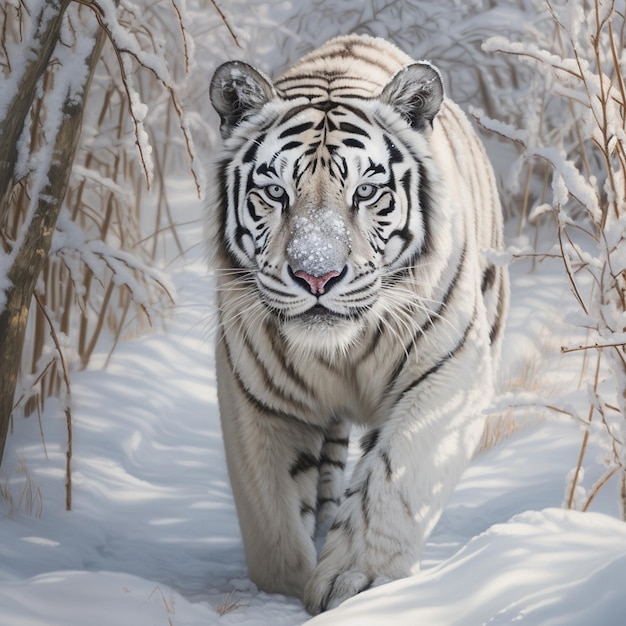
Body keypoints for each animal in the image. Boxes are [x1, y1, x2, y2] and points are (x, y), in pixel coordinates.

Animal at [207, 33, 504, 608]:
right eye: (275, 192)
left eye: (365, 192)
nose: (316, 275)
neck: (341, 351)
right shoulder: (255, 396)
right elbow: (270, 515)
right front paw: (285, 589)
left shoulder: (448, 373)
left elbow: (395, 478)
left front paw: (355, 582)